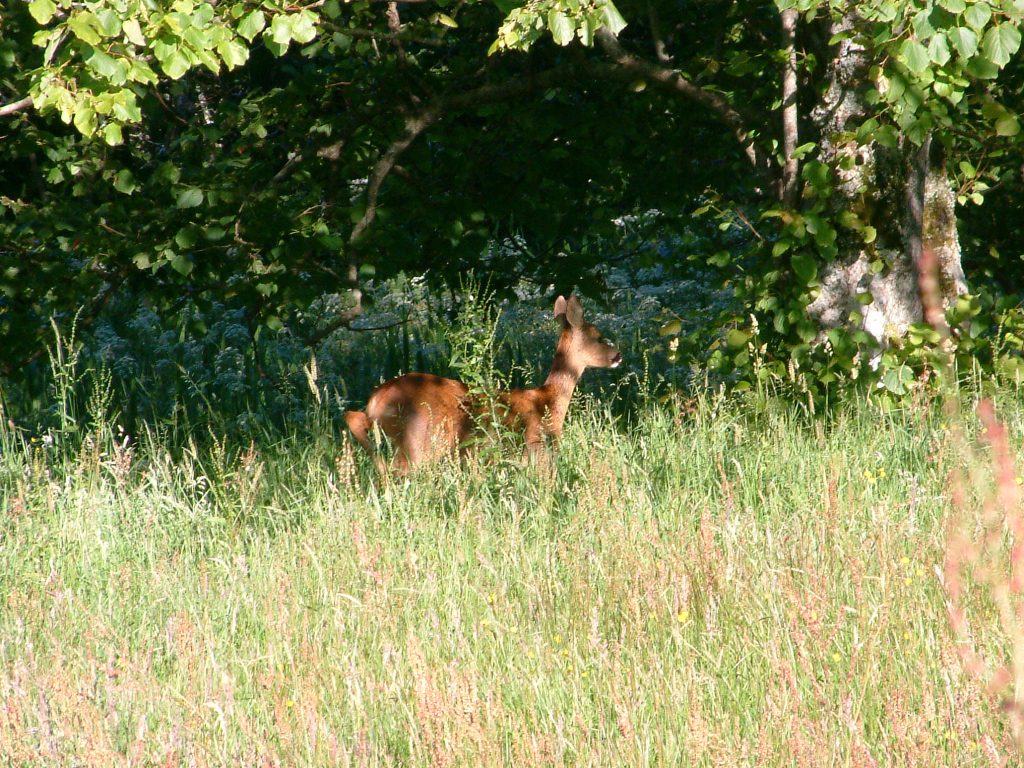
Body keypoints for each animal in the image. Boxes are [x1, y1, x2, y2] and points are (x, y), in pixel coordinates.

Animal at [344, 296, 618, 473]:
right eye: (599, 337)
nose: (618, 355)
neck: (547, 401)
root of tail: (376, 401)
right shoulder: (536, 448)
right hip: (416, 441)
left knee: (353, 419)